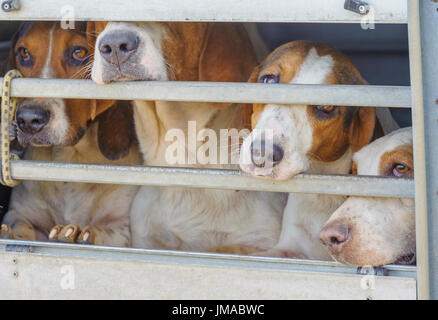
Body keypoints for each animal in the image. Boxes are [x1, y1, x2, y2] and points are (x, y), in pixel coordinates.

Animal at [0, 22, 140, 246]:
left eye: (79, 52)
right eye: (23, 52)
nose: (28, 120)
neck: (70, 158)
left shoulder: (124, 228)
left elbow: (104, 233)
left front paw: (77, 234)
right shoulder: (21, 214)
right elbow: (21, 226)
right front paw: (10, 234)